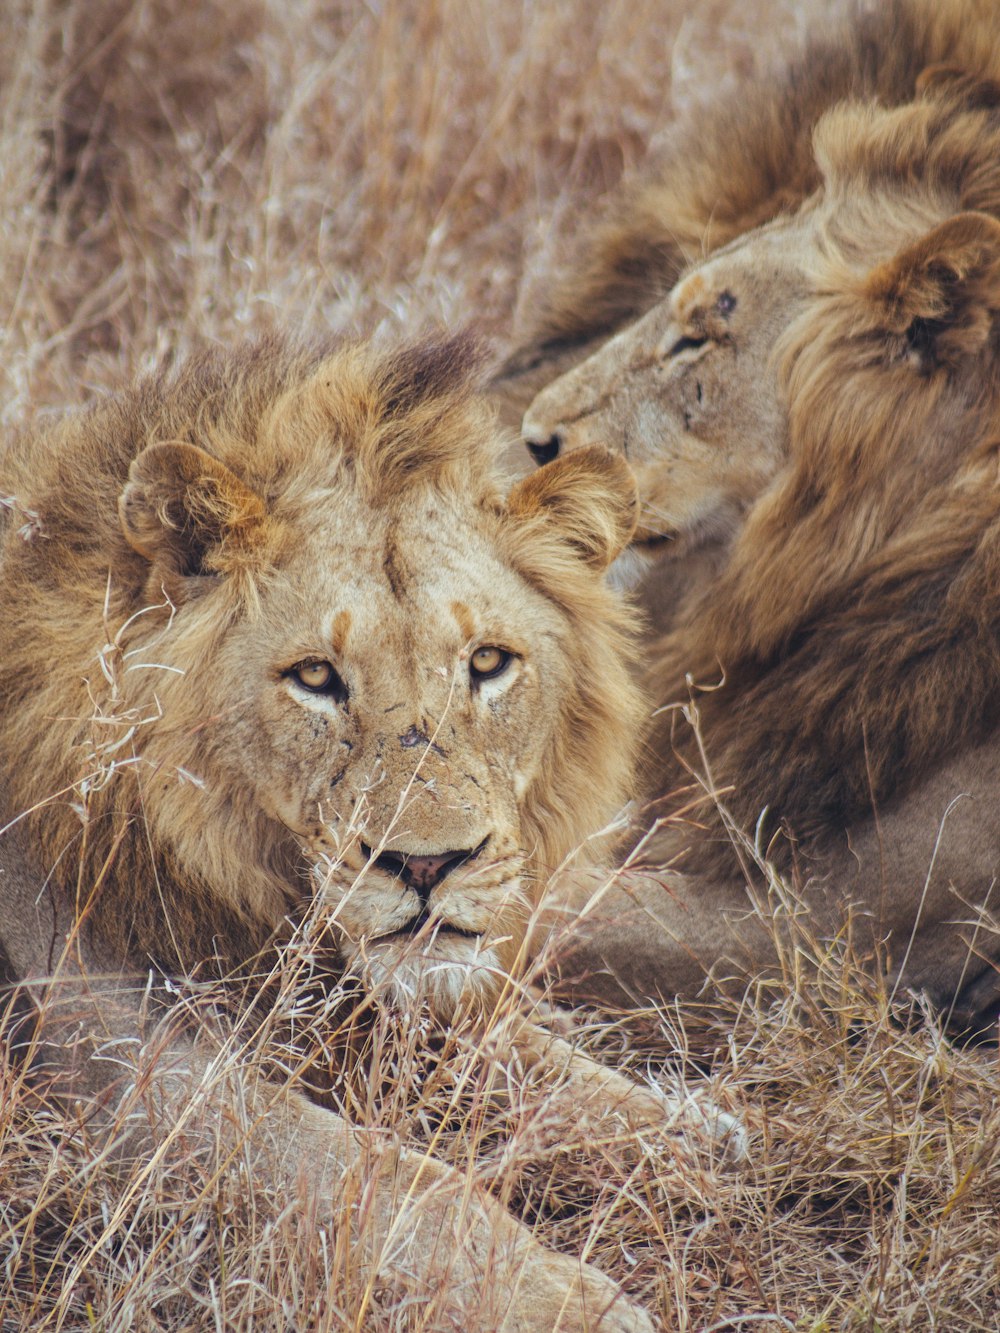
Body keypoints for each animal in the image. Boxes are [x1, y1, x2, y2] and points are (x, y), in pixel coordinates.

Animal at [0, 333, 746, 1333]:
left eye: (487, 662)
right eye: (316, 676)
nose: (428, 864)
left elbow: (543, 1067)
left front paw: (694, 1129)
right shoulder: (119, 1075)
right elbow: (392, 1177)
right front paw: (567, 1299)